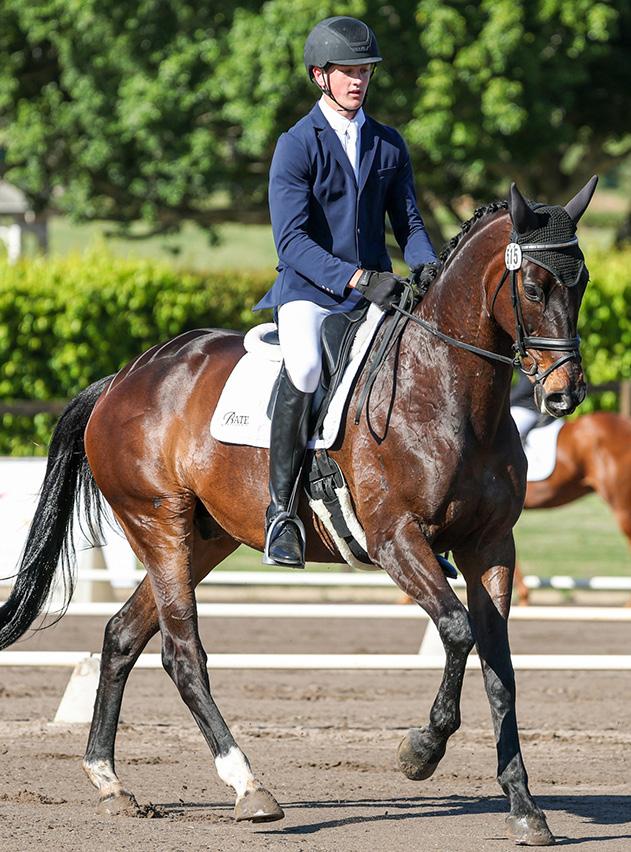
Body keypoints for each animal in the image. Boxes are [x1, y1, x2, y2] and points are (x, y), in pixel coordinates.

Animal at [0, 177, 597, 846]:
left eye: (582, 282)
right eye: (533, 287)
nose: (564, 393)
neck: (448, 391)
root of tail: (124, 377)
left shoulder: (490, 545)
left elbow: (500, 663)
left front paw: (524, 805)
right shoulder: (396, 538)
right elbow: (457, 631)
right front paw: (420, 752)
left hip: (205, 539)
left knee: (122, 635)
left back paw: (109, 781)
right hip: (158, 524)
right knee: (182, 653)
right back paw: (248, 787)